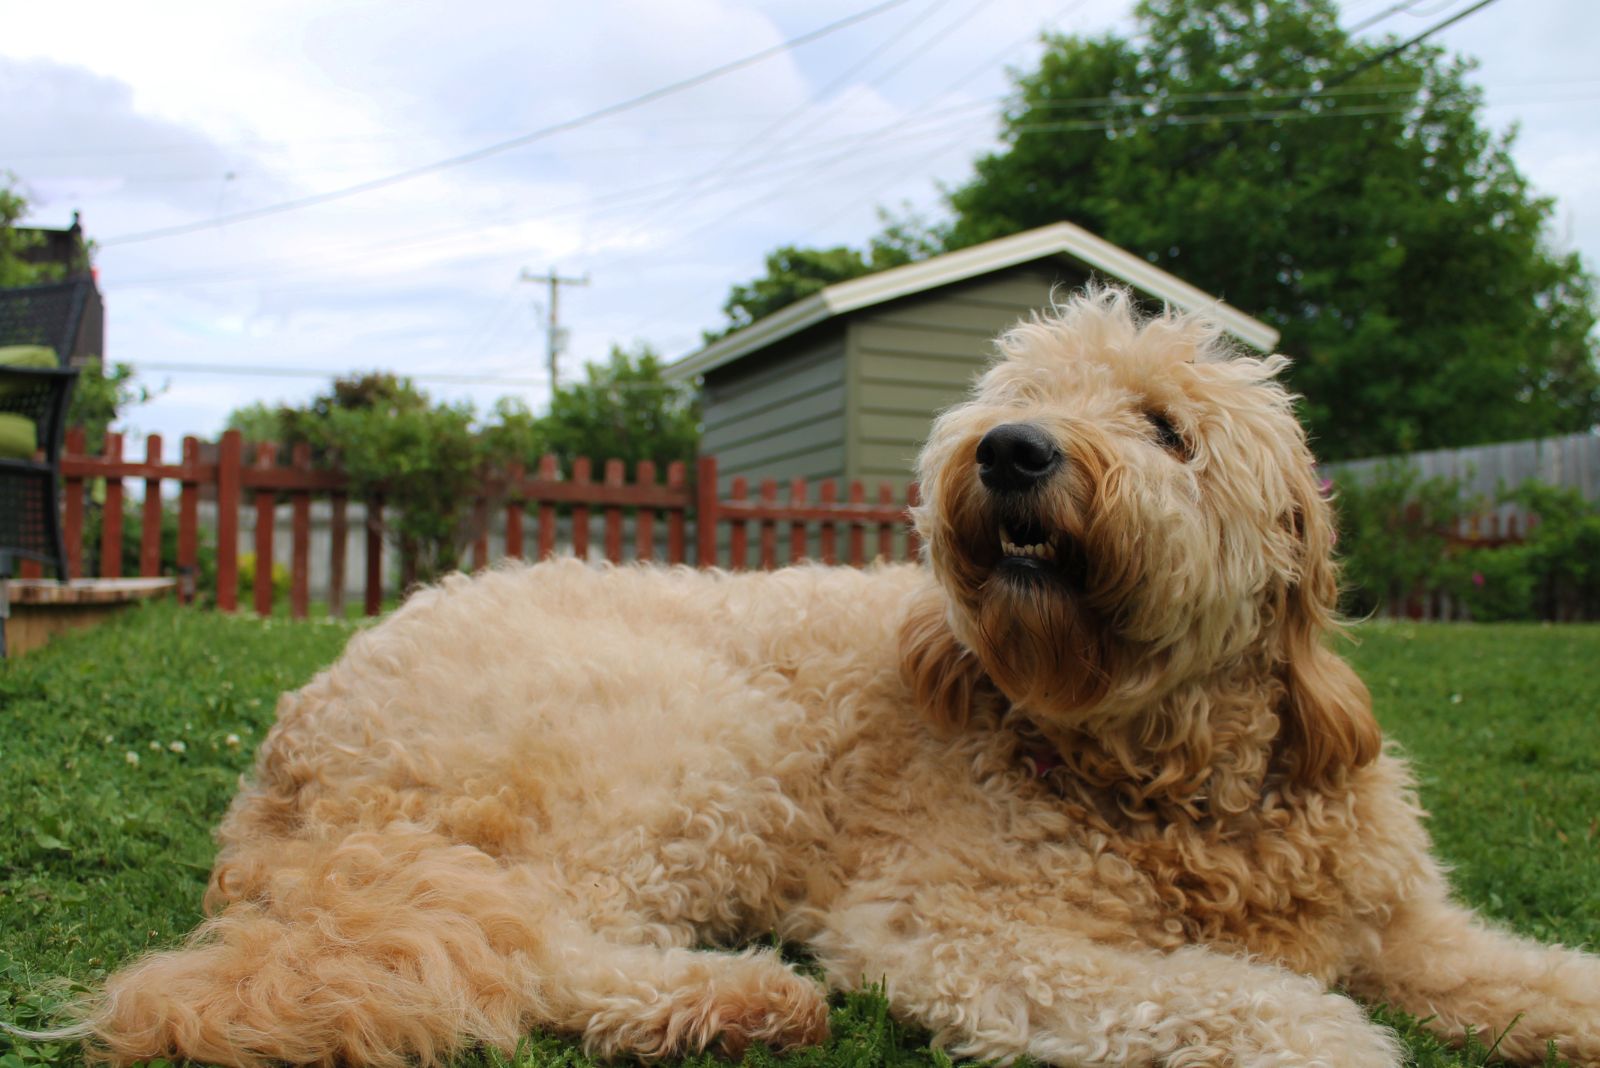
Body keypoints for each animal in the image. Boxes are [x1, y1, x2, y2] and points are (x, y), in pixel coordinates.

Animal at [65, 287, 1600, 1061]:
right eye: (1017, 396)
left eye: (1166, 428)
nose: (1011, 451)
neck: (1167, 777)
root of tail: (295, 751)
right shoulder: (948, 926)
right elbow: (1233, 1001)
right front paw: (1322, 1032)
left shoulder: (1407, 925)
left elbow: (1522, 969)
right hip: (688, 746)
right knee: (531, 946)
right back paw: (731, 1001)